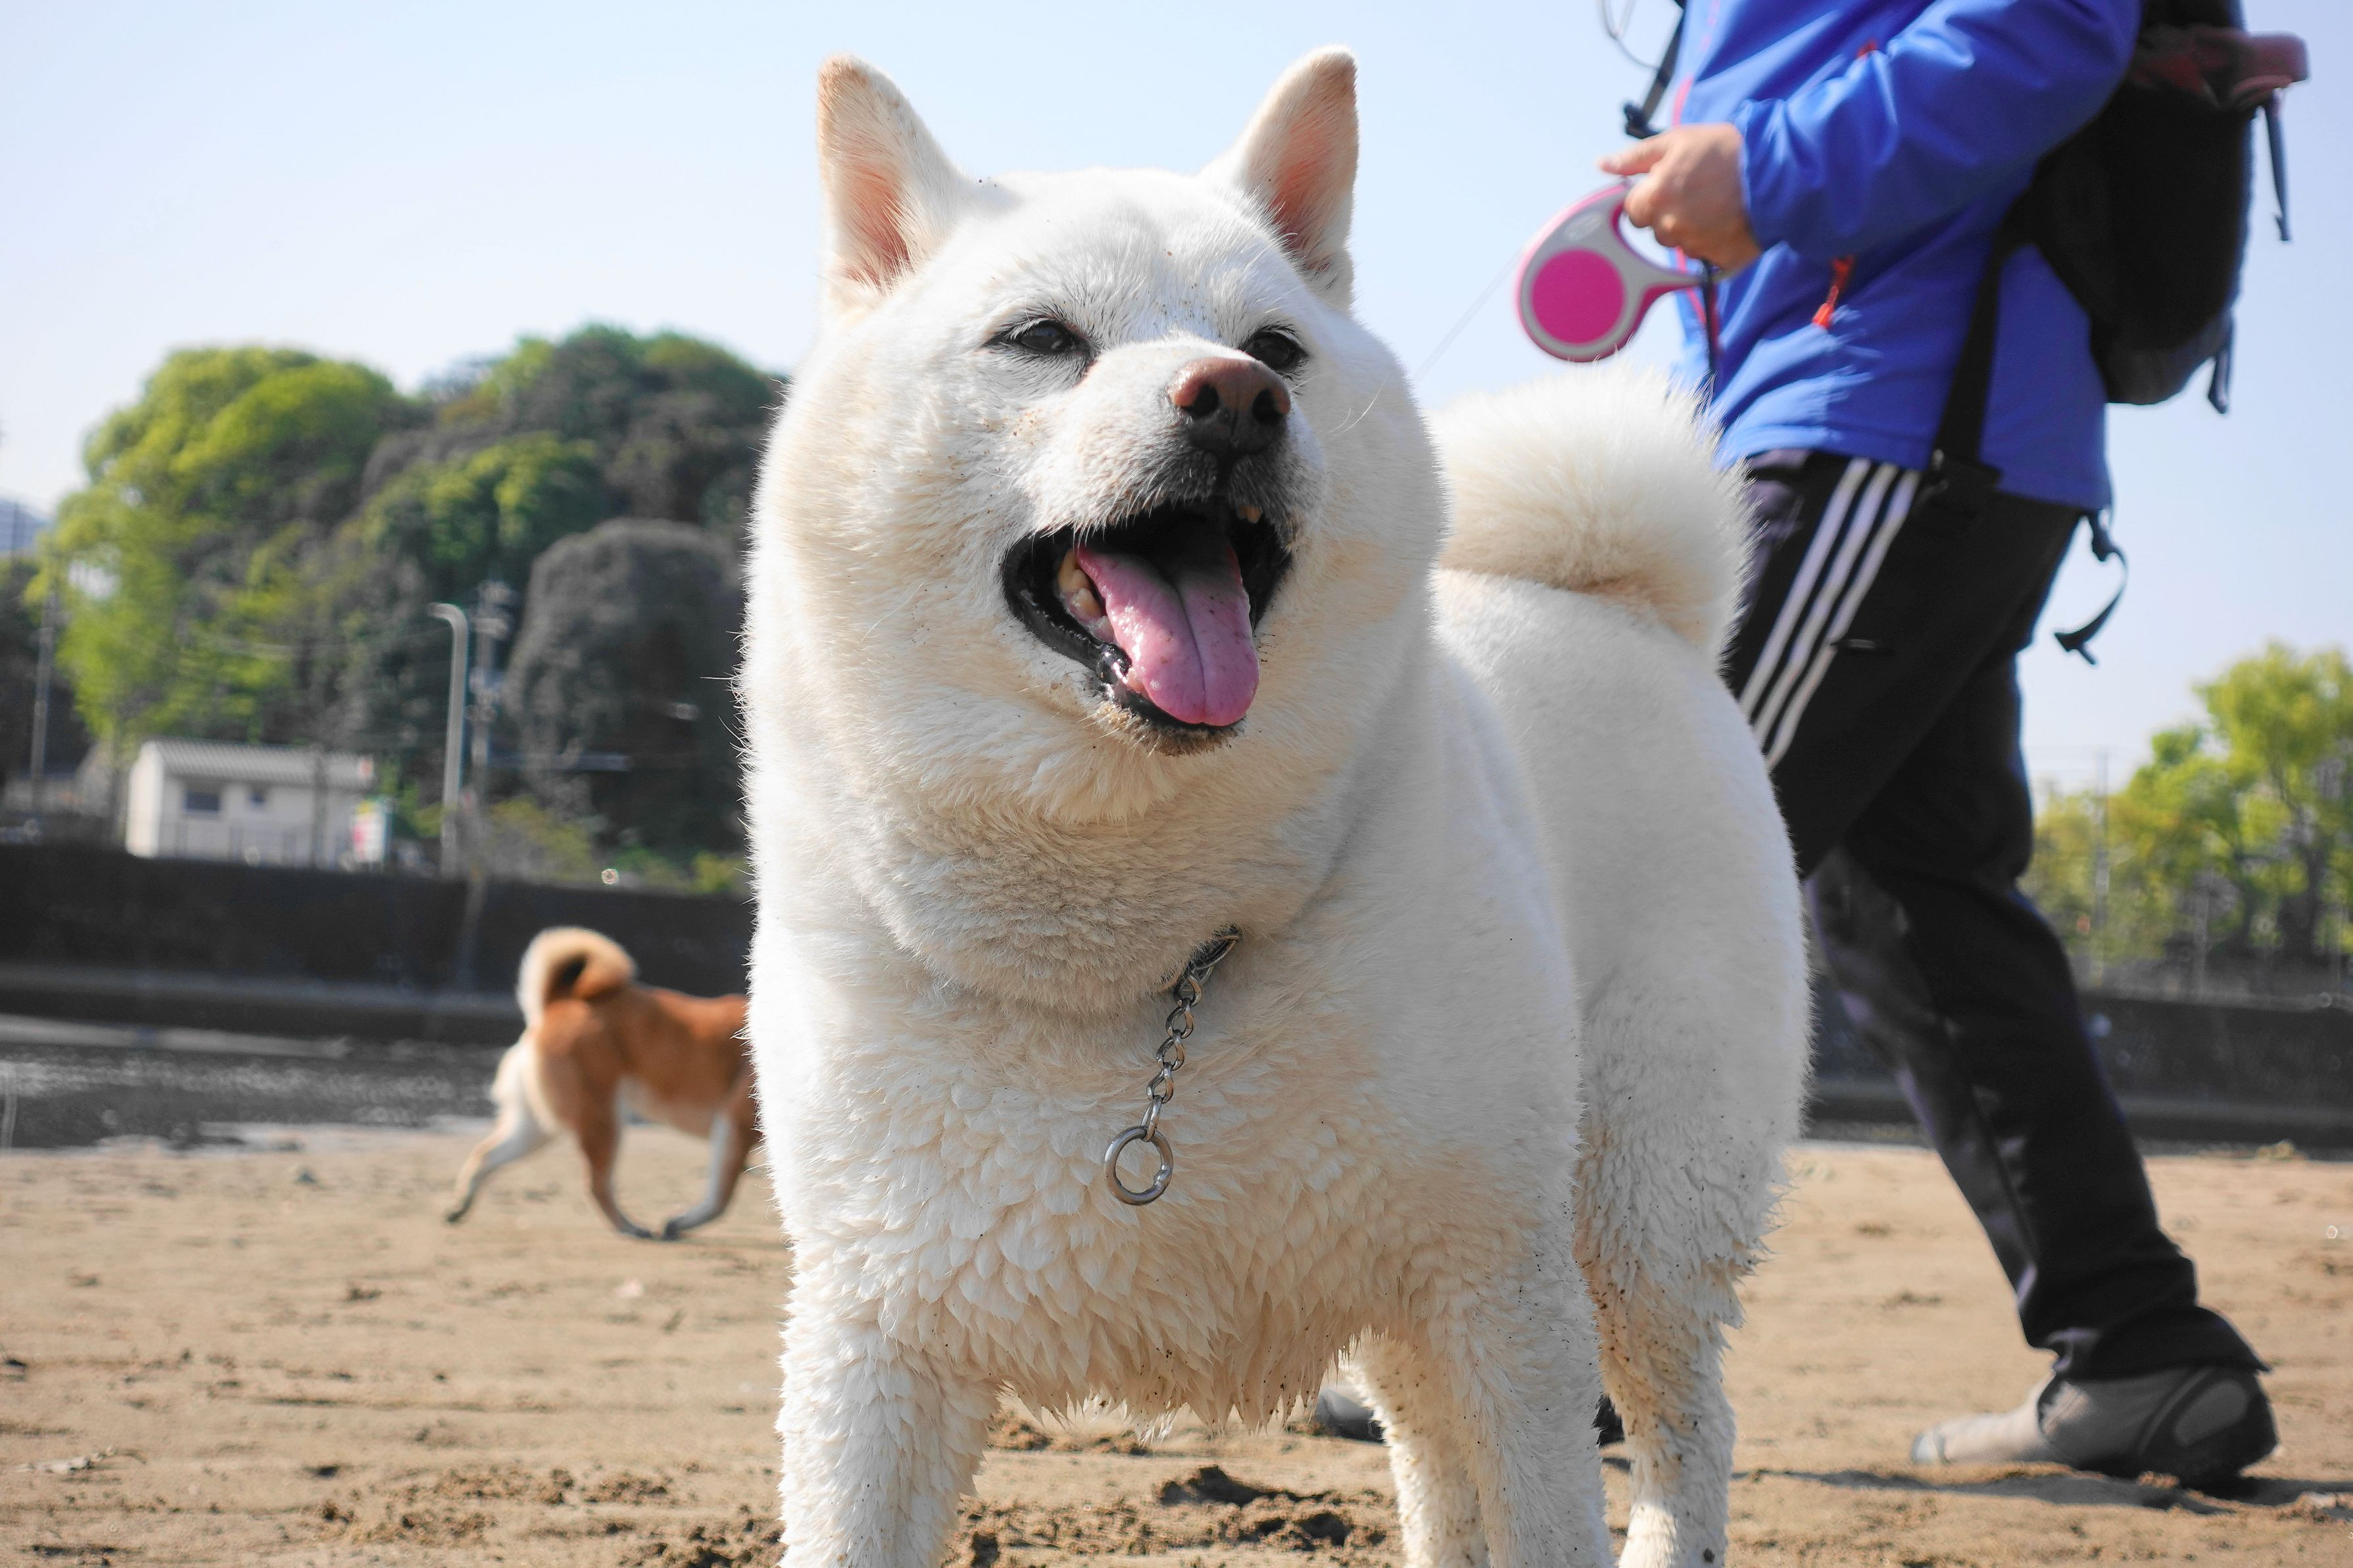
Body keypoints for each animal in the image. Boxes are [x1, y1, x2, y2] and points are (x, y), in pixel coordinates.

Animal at [444, 927, 757, 1241]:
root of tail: (558, 1004)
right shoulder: (735, 1126)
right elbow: (721, 1198)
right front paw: (681, 1223)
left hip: (537, 1128)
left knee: (485, 1156)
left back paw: (459, 1206)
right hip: (601, 1121)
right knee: (597, 1185)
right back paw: (628, 1227)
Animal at [738, 49, 1809, 1568]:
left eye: (1277, 346)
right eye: (1041, 339)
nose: (1235, 396)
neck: (1135, 952)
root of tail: (1625, 605)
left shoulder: (1500, 1287)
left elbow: (1550, 1503)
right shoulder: (872, 1332)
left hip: (1641, 1207)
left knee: (1683, 1429)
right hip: (1433, 1309)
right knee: (1431, 1459)